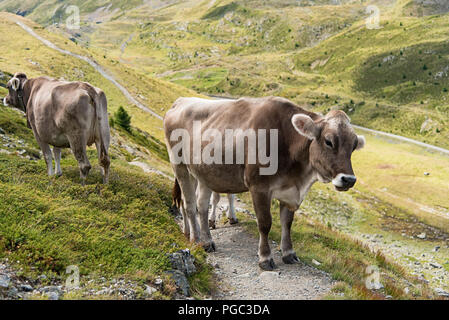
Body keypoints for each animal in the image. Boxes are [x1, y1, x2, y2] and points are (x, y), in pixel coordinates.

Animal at [164, 97, 364, 270]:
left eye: (354, 145)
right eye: (329, 141)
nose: (348, 179)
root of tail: (179, 101)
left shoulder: (289, 191)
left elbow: (287, 223)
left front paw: (289, 253)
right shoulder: (259, 187)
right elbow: (265, 223)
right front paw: (265, 258)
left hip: (204, 173)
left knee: (202, 205)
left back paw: (206, 240)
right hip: (179, 165)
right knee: (189, 205)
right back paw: (195, 238)